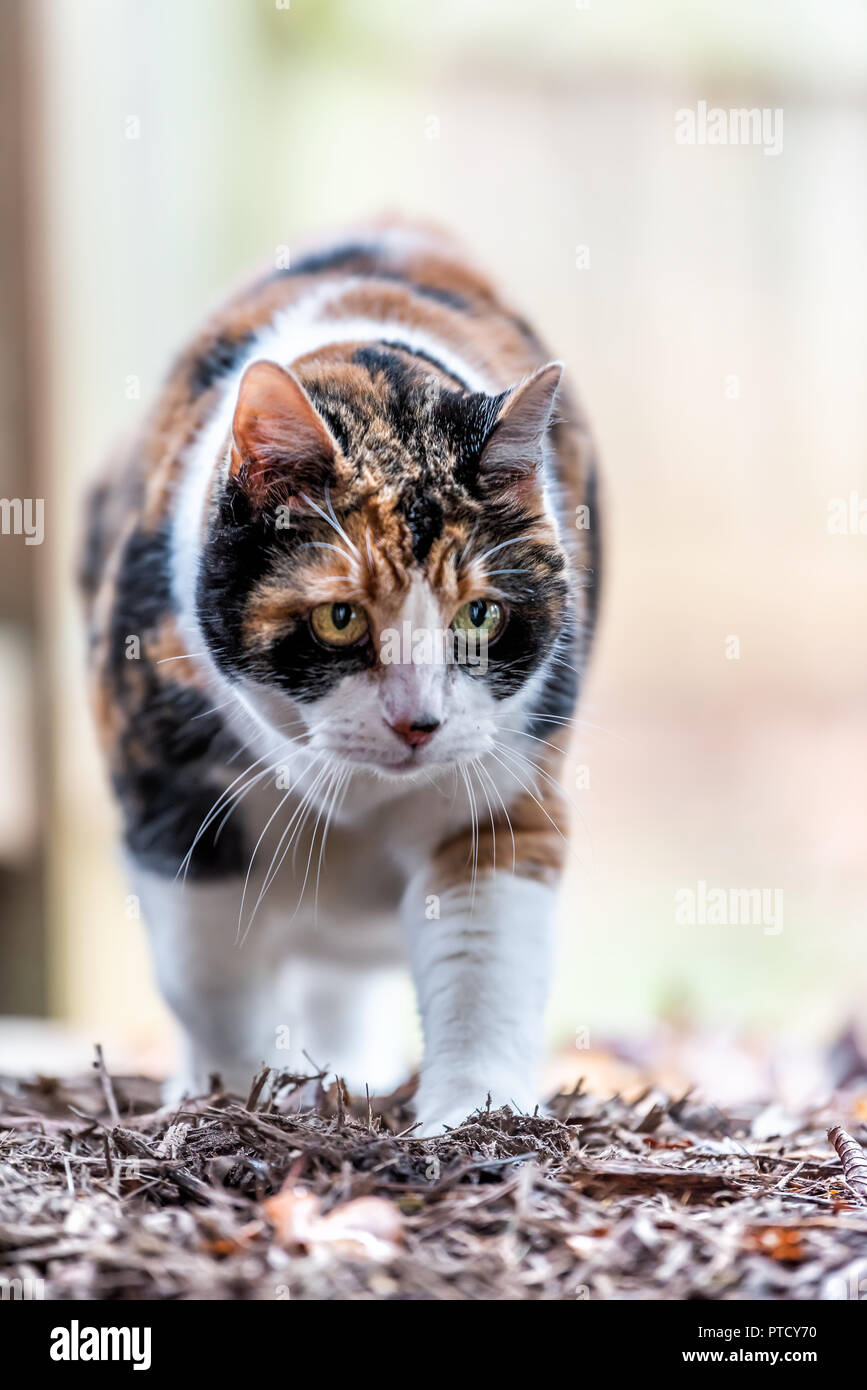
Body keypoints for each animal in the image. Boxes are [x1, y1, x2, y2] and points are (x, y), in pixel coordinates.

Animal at [81, 216, 600, 1128]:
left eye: (479, 616)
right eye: (339, 618)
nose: (418, 722)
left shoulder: (504, 791)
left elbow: (486, 961)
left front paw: (474, 1113)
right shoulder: (168, 792)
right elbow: (208, 976)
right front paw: (234, 1095)